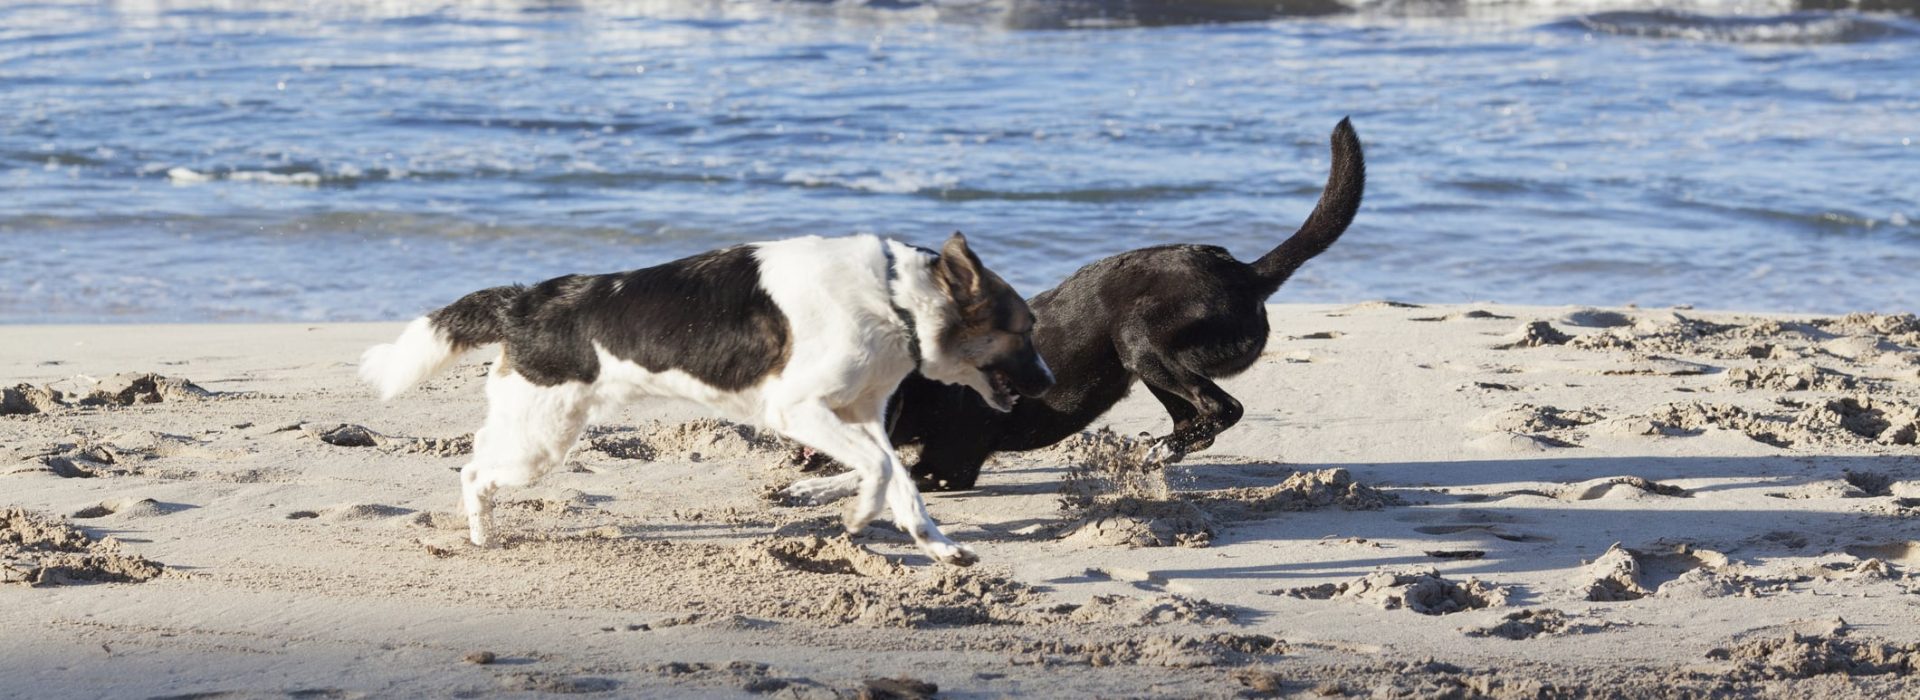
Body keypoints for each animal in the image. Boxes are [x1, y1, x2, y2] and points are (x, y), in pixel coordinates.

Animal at [360, 232, 1052, 563]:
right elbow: (882, 471)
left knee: (479, 456)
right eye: (1026, 329)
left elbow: (900, 479)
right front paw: (858, 519)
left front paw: (937, 548)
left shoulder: (861, 416)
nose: (1049, 383)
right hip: (540, 437)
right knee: (473, 467)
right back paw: (482, 535)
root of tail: (524, 299)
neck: (894, 300)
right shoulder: (798, 410)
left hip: (540, 429)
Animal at [783, 121, 1367, 502]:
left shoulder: (951, 468)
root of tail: (1245, 270)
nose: (785, 433)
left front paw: (808, 489)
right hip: (1137, 361)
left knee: (1223, 408)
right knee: (1195, 417)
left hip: (1140, 338)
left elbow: (885, 472)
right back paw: (1156, 451)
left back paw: (1160, 451)